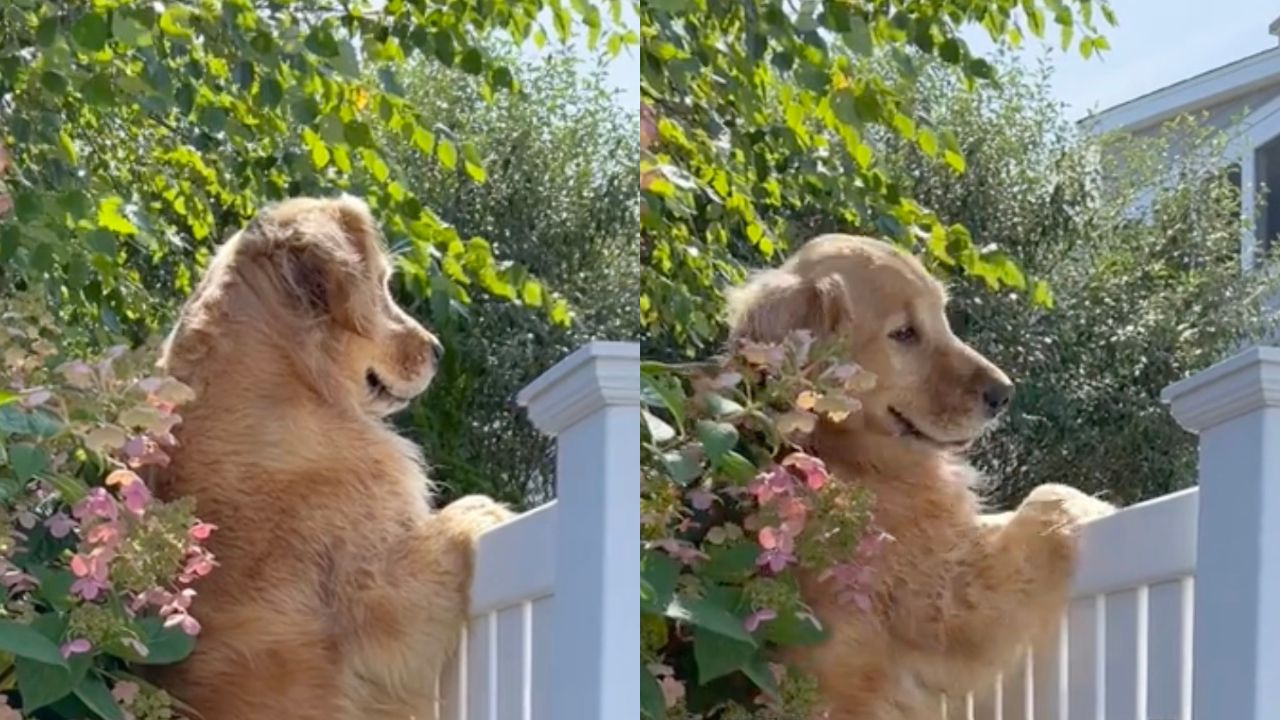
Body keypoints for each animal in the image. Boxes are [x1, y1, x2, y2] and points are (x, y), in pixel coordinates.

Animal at [151, 196, 509, 717]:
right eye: (381, 286)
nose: (438, 351)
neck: (288, 379)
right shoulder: (377, 610)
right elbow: (457, 518)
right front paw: (488, 511)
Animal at [727, 233, 1116, 712]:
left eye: (942, 319)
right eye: (904, 334)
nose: (1004, 394)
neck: (847, 452)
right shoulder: (949, 603)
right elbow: (1047, 497)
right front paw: (1094, 504)